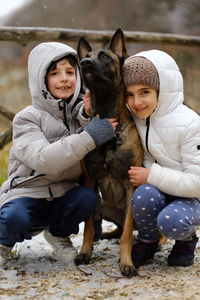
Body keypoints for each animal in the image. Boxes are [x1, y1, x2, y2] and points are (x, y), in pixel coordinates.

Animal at [74, 28, 142, 276]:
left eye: (104, 56)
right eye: (86, 56)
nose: (84, 63)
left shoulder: (132, 184)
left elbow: (127, 234)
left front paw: (127, 262)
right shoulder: (90, 181)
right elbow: (88, 226)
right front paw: (85, 252)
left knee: (129, 230)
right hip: (103, 203)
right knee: (115, 227)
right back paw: (106, 234)